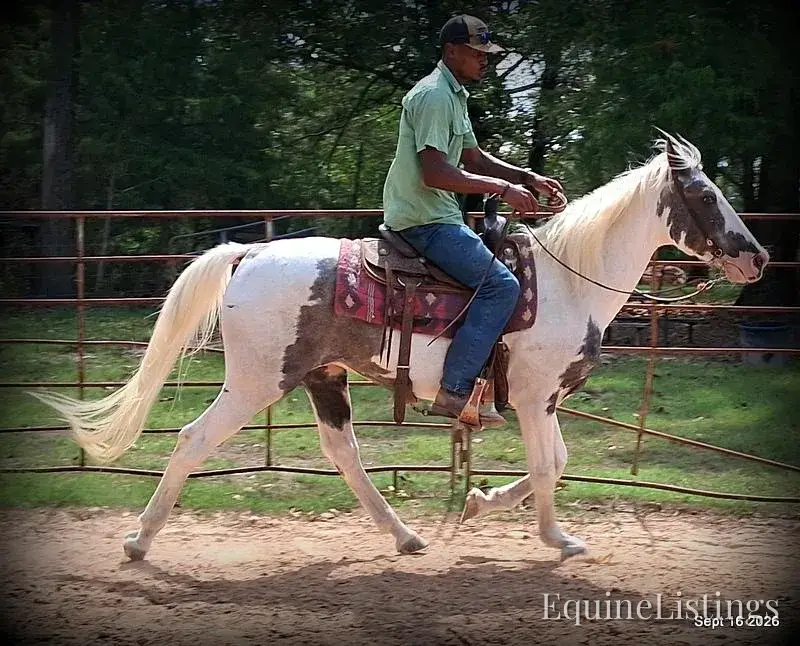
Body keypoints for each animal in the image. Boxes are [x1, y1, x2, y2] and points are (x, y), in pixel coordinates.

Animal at [34, 134, 768, 562]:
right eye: (705, 194)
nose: (756, 257)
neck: (567, 280)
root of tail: (248, 254)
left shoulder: (547, 400)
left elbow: (553, 464)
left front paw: (480, 503)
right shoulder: (535, 397)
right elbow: (548, 467)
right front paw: (556, 539)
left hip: (324, 378)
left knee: (344, 455)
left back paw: (406, 535)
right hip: (256, 381)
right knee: (192, 440)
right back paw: (138, 541)